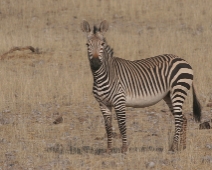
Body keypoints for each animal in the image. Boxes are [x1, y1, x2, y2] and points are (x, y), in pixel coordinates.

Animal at [80, 19, 201, 153]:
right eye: (87, 45)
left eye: (102, 44)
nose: (96, 64)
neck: (104, 75)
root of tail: (183, 60)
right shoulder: (103, 104)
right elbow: (108, 127)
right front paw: (108, 150)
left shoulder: (119, 101)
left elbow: (122, 125)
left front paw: (124, 149)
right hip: (169, 95)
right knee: (183, 118)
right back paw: (182, 146)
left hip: (178, 90)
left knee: (179, 119)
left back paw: (173, 147)